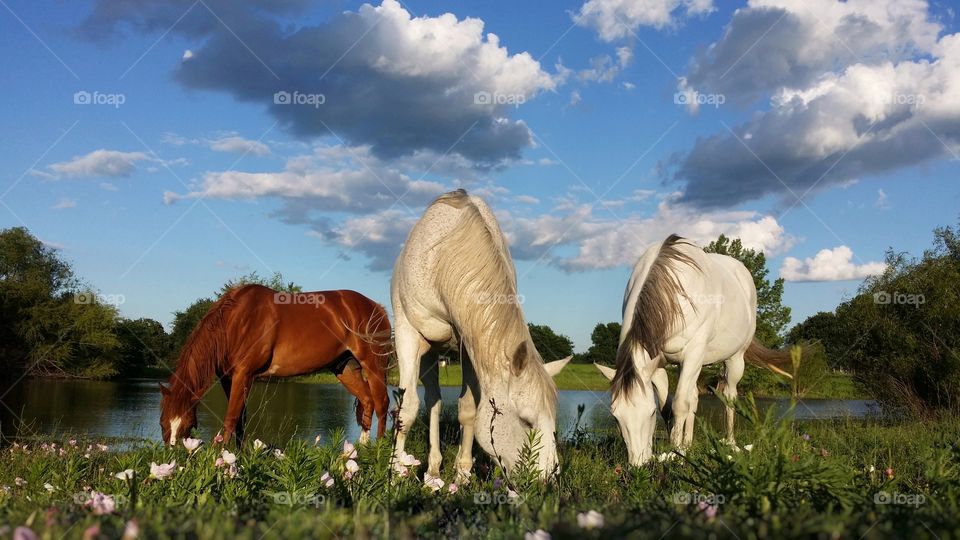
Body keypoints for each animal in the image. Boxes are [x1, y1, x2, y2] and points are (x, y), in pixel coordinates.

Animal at [159, 284, 392, 446]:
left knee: (382, 404)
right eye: (162, 423)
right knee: (368, 402)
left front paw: (222, 461)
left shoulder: (244, 374)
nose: (174, 456)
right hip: (345, 369)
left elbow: (231, 418)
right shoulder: (228, 378)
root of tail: (377, 308)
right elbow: (241, 419)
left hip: (374, 366)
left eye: (188, 424)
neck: (235, 322)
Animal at [390, 189, 568, 476]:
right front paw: (394, 473)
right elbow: (406, 408)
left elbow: (468, 409)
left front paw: (462, 473)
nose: (548, 477)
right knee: (432, 400)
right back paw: (432, 469)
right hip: (428, 352)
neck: (442, 257)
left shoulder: (473, 344)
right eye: (526, 421)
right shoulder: (408, 333)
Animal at [596, 234, 792, 466]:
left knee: (729, 396)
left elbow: (679, 404)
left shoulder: (693, 355)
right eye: (615, 416)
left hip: (734, 359)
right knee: (694, 398)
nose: (638, 465)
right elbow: (670, 407)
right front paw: (677, 449)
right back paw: (688, 444)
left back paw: (730, 443)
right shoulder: (659, 364)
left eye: (650, 413)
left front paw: (676, 453)